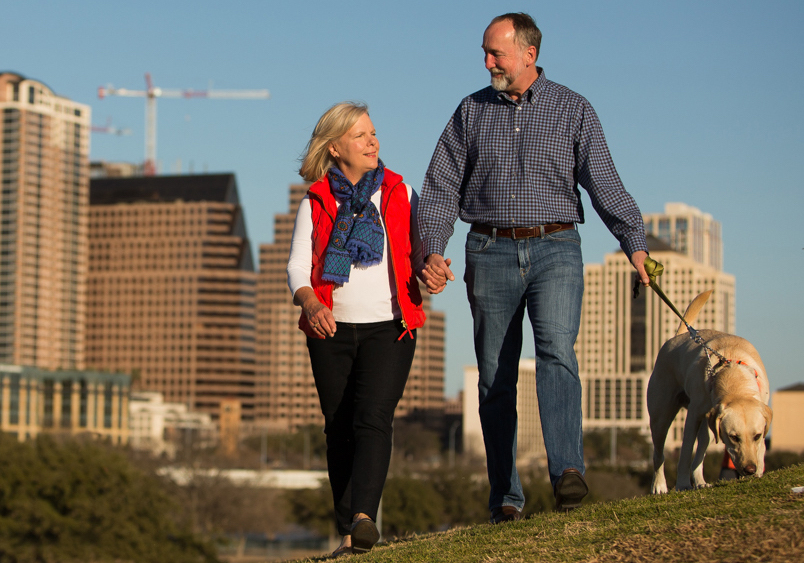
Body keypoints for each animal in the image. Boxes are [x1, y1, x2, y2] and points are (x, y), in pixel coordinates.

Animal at [648, 290, 772, 494]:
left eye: (757, 435)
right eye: (734, 437)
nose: (750, 469)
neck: (733, 374)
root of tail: (680, 335)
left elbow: (760, 447)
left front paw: (760, 470)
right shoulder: (693, 416)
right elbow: (685, 453)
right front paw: (682, 484)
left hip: (708, 429)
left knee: (699, 457)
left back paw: (700, 482)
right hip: (660, 416)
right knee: (659, 454)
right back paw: (659, 486)